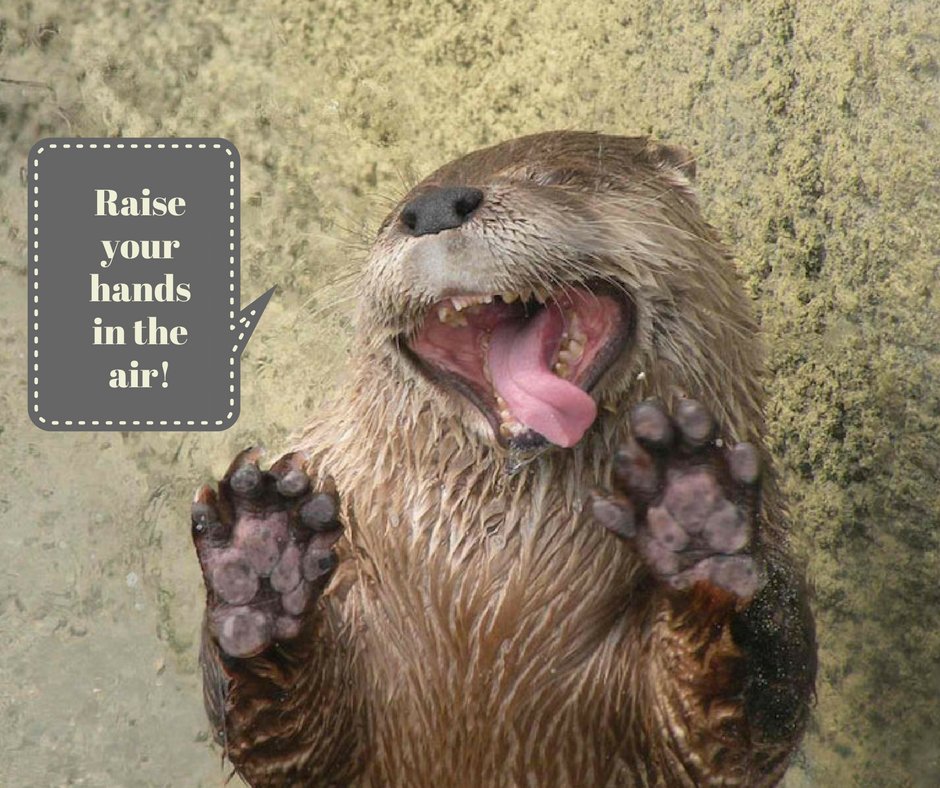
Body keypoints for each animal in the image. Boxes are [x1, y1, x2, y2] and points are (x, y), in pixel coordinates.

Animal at [190, 131, 816, 787]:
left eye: (558, 178)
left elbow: (734, 728)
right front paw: (262, 557)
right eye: (395, 212)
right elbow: (280, 738)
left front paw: (695, 512)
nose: (433, 207)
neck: (488, 584)